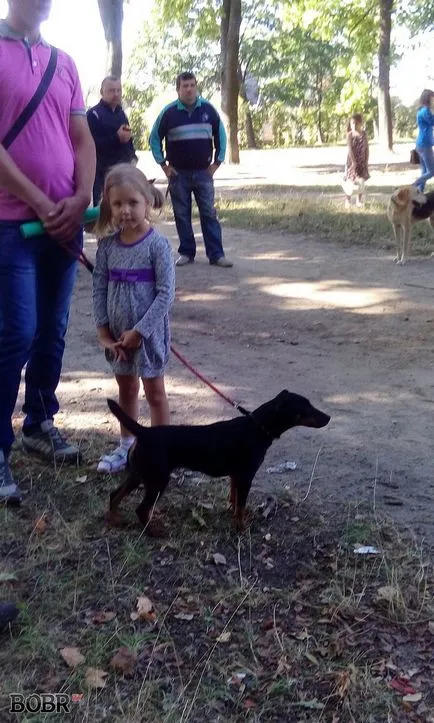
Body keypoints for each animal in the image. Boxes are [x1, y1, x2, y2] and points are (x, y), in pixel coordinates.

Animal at [105, 394, 328, 536]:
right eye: (306, 408)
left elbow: (235, 500)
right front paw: (240, 529)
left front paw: (234, 515)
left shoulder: (236, 476)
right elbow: (241, 504)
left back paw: (115, 522)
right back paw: (154, 532)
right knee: (141, 509)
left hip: (138, 475)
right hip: (158, 480)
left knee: (114, 495)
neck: (258, 428)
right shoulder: (246, 476)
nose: (328, 417)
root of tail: (143, 432)